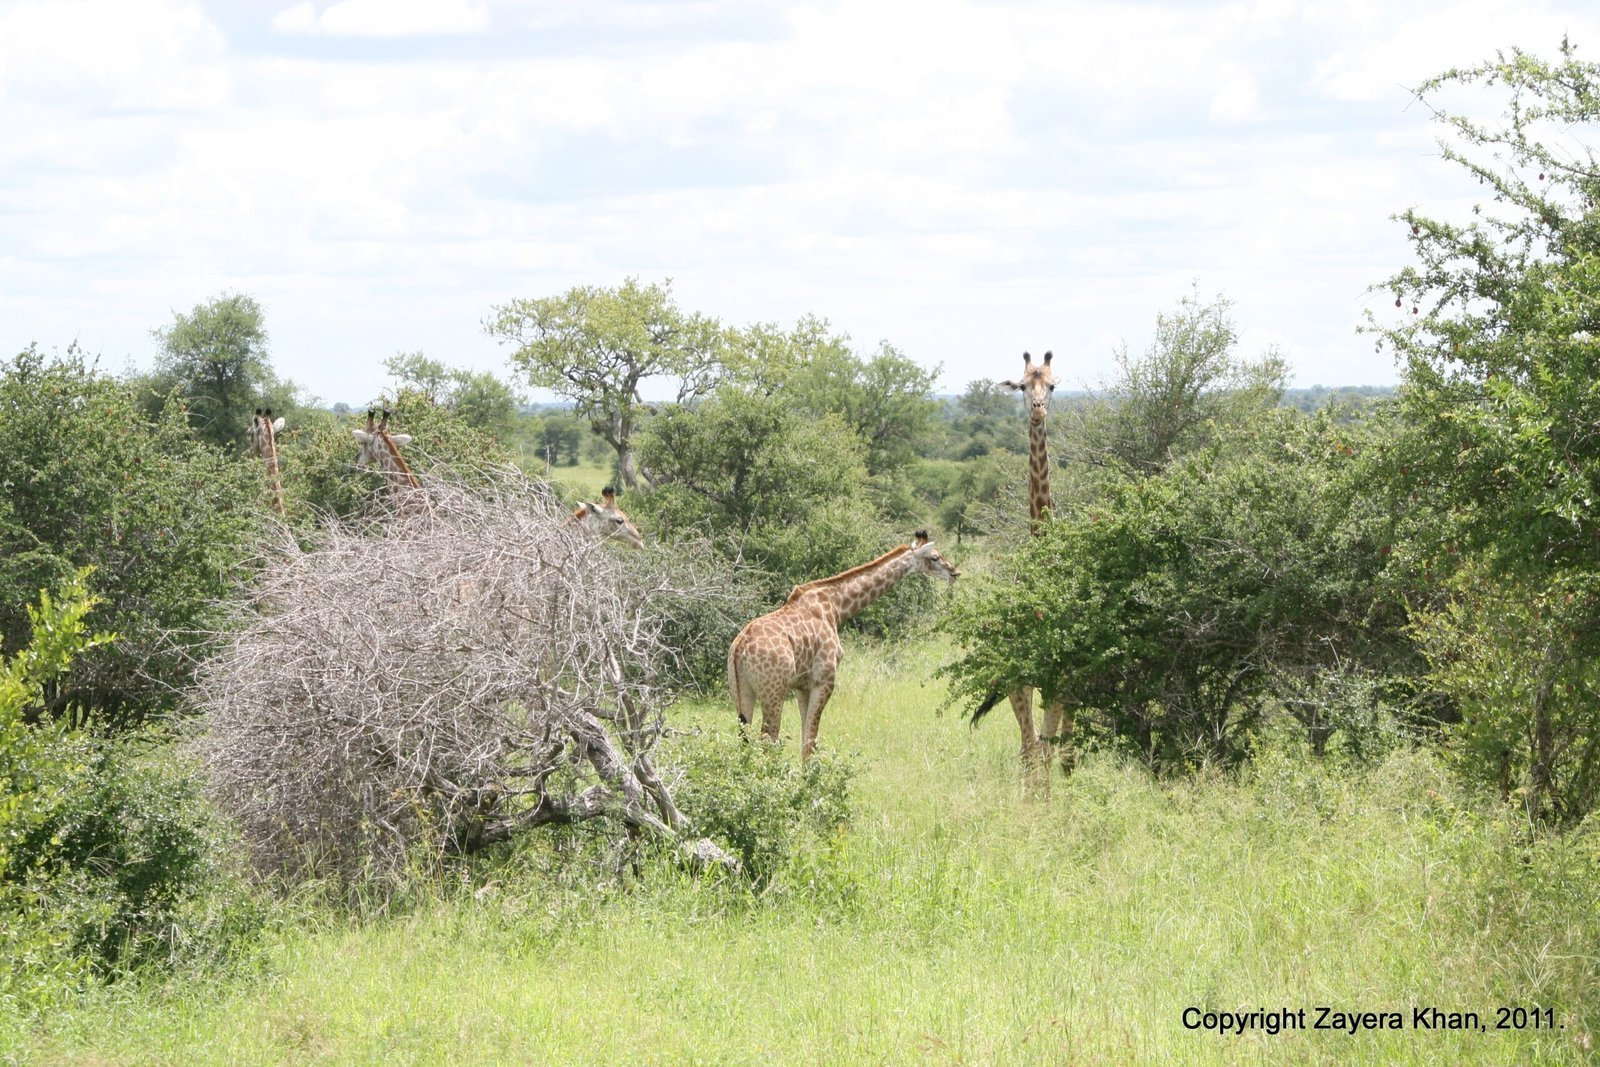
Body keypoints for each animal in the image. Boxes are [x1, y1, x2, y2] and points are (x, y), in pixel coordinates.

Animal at [729, 531, 959, 762]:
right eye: (935, 557)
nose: (955, 572)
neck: (837, 607)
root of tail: (739, 649)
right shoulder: (824, 681)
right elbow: (811, 742)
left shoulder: (802, 686)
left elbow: (806, 739)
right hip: (773, 691)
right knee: (768, 741)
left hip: (742, 692)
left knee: (745, 741)